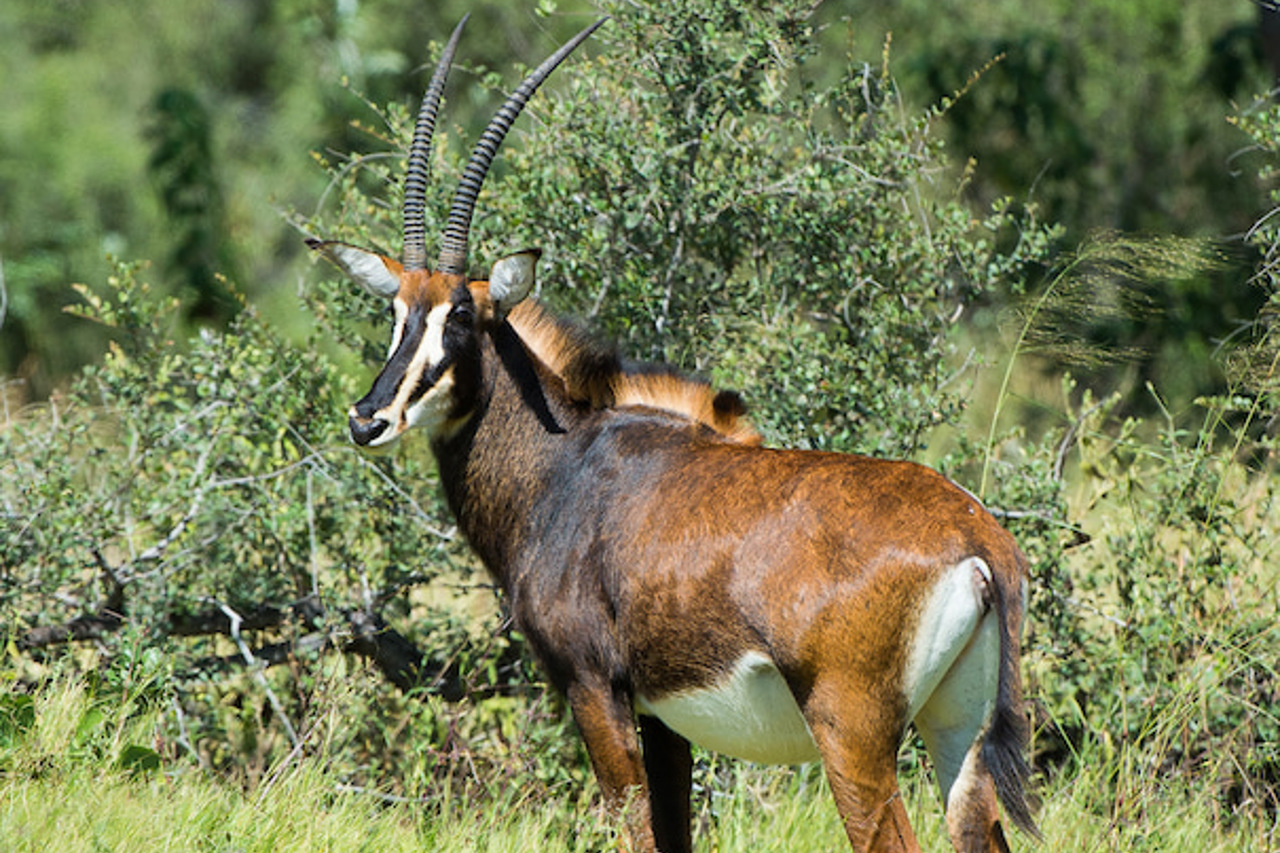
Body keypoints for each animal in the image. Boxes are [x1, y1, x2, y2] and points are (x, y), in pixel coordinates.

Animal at [308, 17, 1038, 853]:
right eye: (398, 311)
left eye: (462, 315)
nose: (368, 417)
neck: (565, 462)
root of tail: (977, 539)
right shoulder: (665, 720)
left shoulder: (596, 688)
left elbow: (636, 831)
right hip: (956, 732)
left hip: (851, 733)